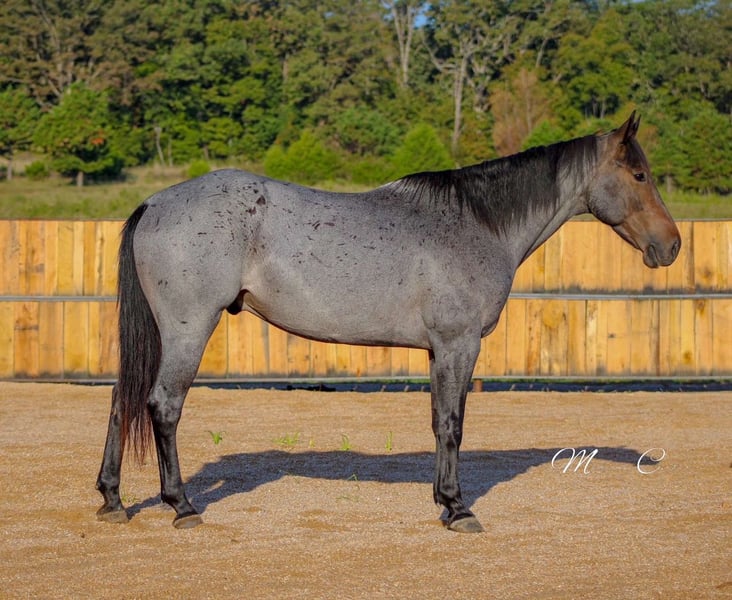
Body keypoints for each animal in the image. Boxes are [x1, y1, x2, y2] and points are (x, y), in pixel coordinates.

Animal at [96, 112, 680, 533]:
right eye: (639, 174)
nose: (671, 245)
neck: (478, 223)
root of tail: (154, 203)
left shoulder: (438, 350)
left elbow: (439, 421)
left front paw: (444, 501)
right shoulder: (458, 345)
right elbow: (453, 425)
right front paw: (458, 509)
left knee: (124, 399)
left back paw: (112, 499)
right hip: (188, 328)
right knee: (162, 405)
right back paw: (182, 506)